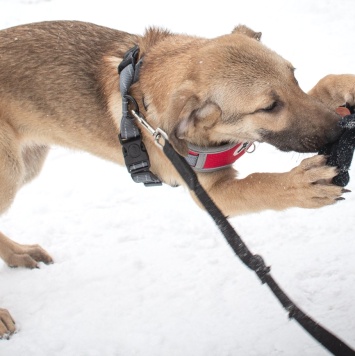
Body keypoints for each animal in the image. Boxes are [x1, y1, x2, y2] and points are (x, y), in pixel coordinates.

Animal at [0, 20, 355, 338]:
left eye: (293, 75)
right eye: (269, 107)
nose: (339, 132)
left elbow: (321, 85)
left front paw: (345, 84)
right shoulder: (211, 192)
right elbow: (261, 183)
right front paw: (301, 185)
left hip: (28, 163)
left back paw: (19, 254)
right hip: (10, 170)